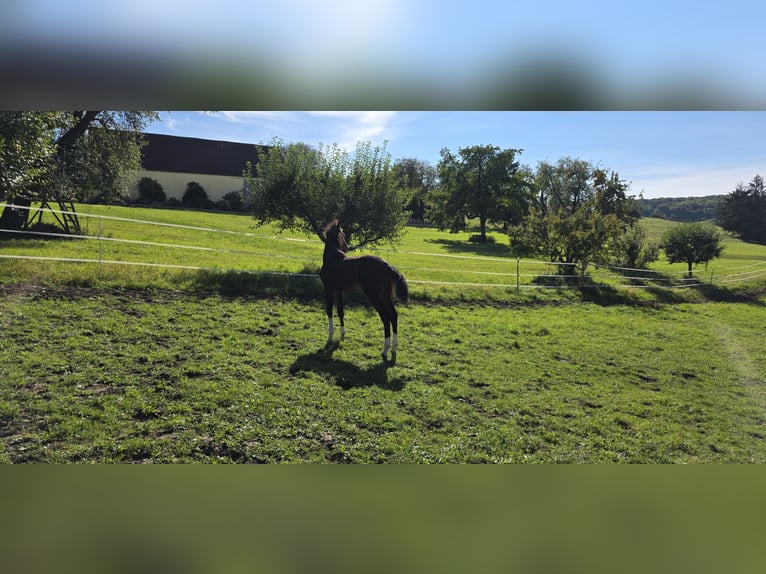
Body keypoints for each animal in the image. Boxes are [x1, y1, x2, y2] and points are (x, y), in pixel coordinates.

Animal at [319, 220, 409, 361]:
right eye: (343, 234)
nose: (347, 247)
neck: (332, 258)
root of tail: (389, 267)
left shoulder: (329, 288)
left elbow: (329, 311)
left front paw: (330, 337)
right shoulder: (340, 290)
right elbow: (340, 311)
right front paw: (342, 335)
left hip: (375, 296)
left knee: (385, 317)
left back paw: (385, 350)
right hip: (385, 296)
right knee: (393, 315)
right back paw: (393, 349)